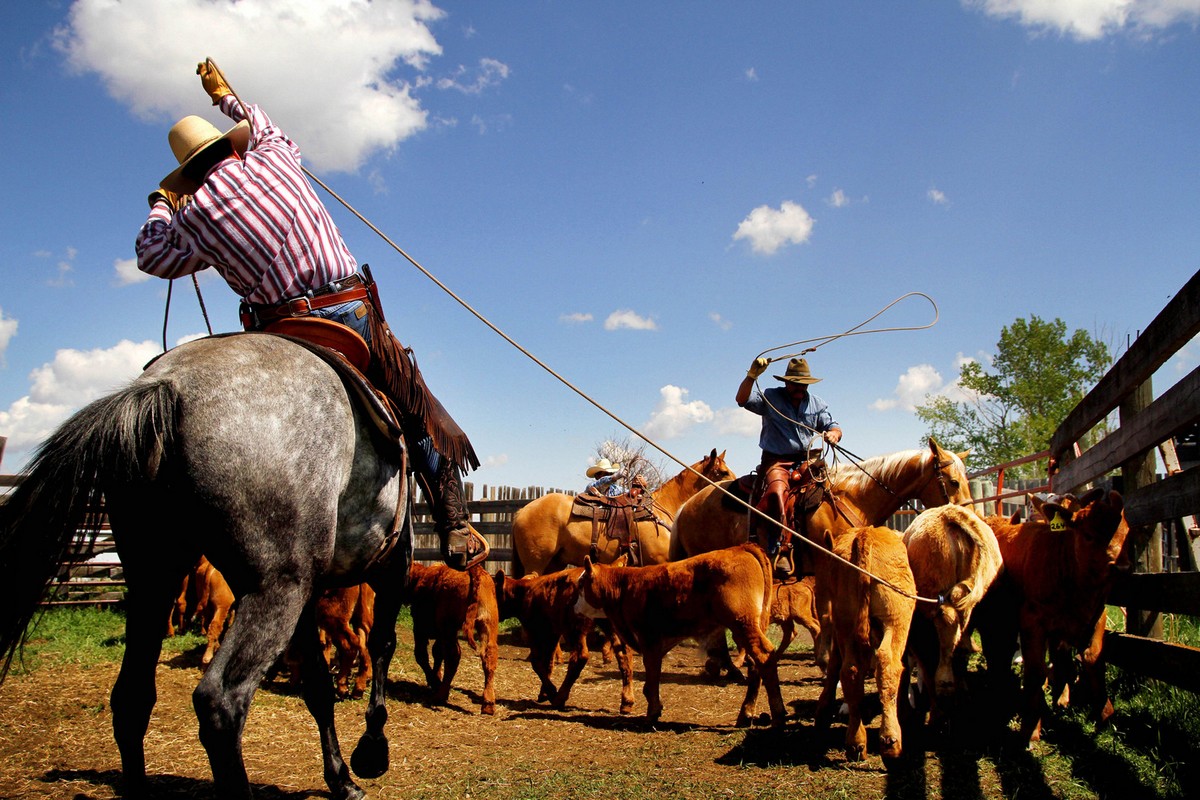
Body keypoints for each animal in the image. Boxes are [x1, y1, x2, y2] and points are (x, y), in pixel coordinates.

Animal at [0, 335, 427, 800]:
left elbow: (318, 684)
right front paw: (372, 751)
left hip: (155, 578)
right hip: (276, 590)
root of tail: (168, 387)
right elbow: (382, 645)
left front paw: (341, 777)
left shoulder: (312, 596)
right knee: (220, 703)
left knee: (132, 696)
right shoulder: (391, 566)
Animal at [573, 544, 787, 724]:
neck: (624, 586)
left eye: (581, 583)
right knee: (755, 664)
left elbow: (651, 678)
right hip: (751, 626)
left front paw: (652, 712)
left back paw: (778, 714)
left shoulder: (649, 639)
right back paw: (746, 713)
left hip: (742, 623)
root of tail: (741, 547)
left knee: (764, 656)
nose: (575, 607)